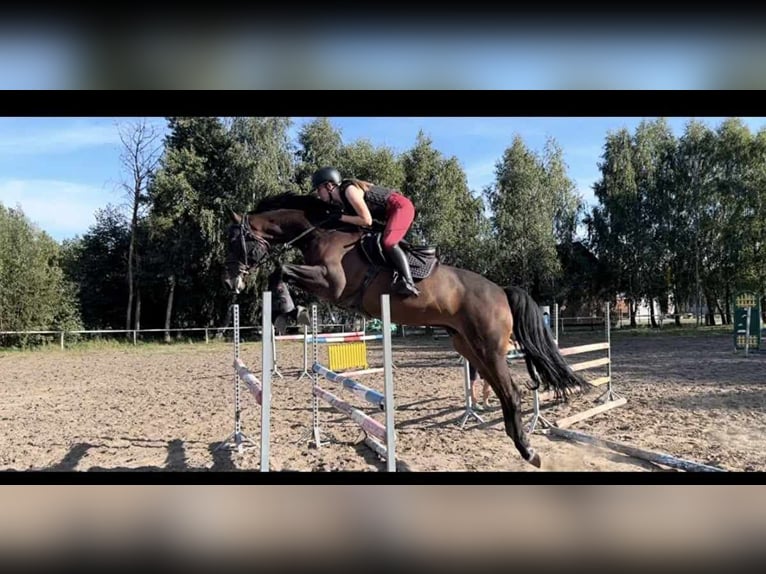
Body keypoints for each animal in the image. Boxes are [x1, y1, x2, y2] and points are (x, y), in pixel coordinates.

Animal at [222, 191, 588, 470]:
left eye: (234, 242)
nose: (230, 281)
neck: (321, 232)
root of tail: (500, 291)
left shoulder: (331, 283)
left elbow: (282, 269)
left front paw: (287, 310)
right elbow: (281, 271)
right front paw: (287, 311)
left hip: (488, 347)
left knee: (511, 391)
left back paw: (529, 450)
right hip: (469, 348)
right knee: (502, 391)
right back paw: (518, 442)